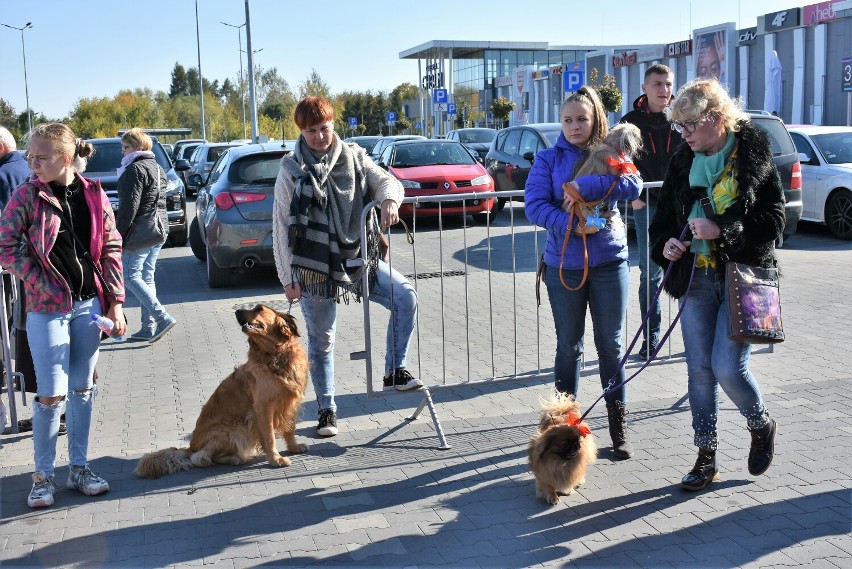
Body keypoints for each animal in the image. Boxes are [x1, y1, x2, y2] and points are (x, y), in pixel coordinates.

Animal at [138, 304, 312, 478]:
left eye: (258, 308)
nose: (237, 311)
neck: (275, 355)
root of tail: (191, 447)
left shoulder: (292, 403)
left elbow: (290, 429)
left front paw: (294, 447)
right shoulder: (263, 408)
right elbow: (269, 437)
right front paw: (276, 459)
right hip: (236, 428)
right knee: (201, 457)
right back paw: (235, 458)